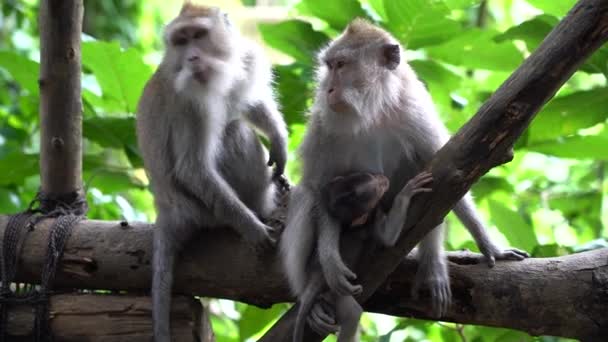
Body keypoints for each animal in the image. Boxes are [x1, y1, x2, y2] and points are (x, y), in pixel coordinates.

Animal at [137, 2, 288, 340]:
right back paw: (266, 207)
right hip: (208, 213)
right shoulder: (189, 103)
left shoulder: (240, 62)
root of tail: (167, 209)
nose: (192, 58)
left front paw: (278, 138)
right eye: (181, 41)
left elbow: (244, 101)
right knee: (233, 133)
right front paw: (253, 228)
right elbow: (192, 169)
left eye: (198, 35)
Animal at [294, 172, 432, 342]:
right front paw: (407, 191)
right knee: (352, 313)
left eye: (371, 175)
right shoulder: (370, 223)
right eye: (378, 189)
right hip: (335, 294)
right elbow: (388, 237)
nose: (384, 178)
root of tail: (312, 282)